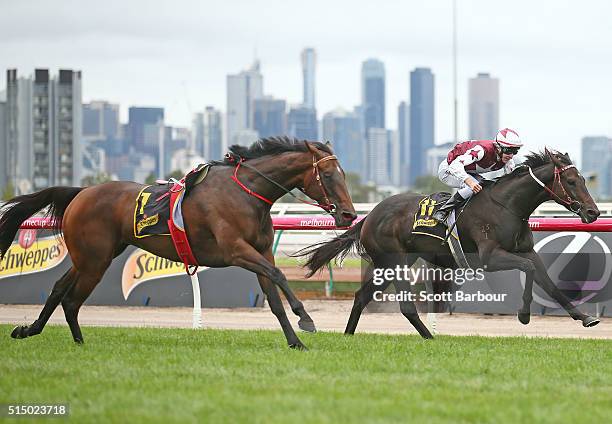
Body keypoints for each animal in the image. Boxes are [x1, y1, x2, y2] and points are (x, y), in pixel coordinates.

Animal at [2, 137, 358, 350]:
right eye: (328, 176)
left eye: (343, 174)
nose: (349, 214)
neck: (246, 193)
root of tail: (81, 192)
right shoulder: (236, 251)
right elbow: (280, 275)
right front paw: (306, 318)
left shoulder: (261, 252)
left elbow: (272, 296)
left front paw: (295, 341)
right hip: (94, 260)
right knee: (71, 298)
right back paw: (74, 341)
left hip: (91, 257)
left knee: (60, 290)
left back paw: (36, 331)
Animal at [302, 150, 604, 338]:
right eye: (571, 180)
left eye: (583, 179)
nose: (593, 212)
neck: (508, 205)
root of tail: (369, 216)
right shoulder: (490, 257)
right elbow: (528, 270)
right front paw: (524, 316)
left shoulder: (527, 251)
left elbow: (548, 282)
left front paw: (585, 317)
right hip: (395, 261)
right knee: (405, 306)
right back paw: (430, 338)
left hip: (388, 264)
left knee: (361, 297)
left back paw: (348, 336)